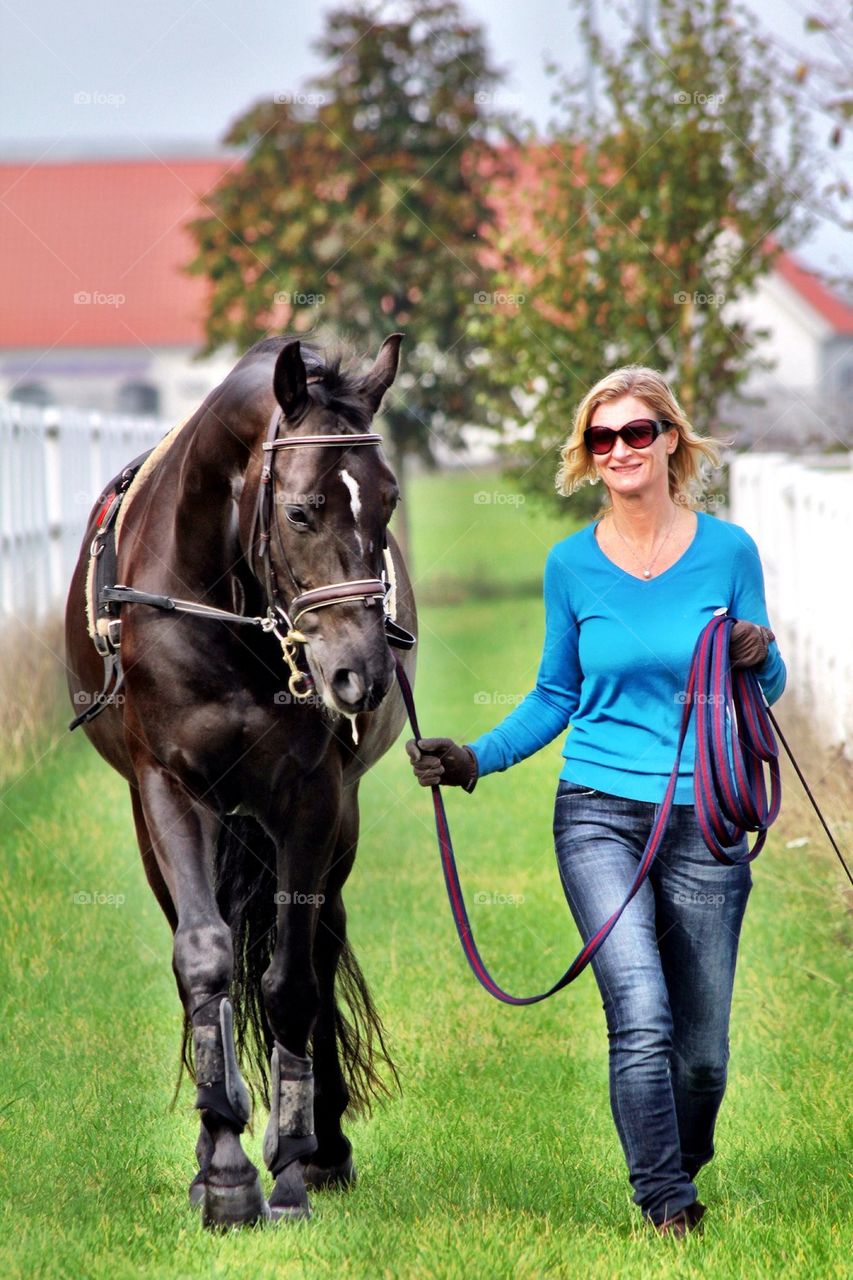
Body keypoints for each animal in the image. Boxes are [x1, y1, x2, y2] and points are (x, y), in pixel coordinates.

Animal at [64, 335, 414, 1223]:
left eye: (387, 502)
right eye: (300, 511)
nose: (361, 675)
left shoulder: (312, 799)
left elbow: (291, 980)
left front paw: (290, 1164)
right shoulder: (170, 789)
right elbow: (203, 958)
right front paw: (221, 1171)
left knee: (321, 947)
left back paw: (325, 1145)